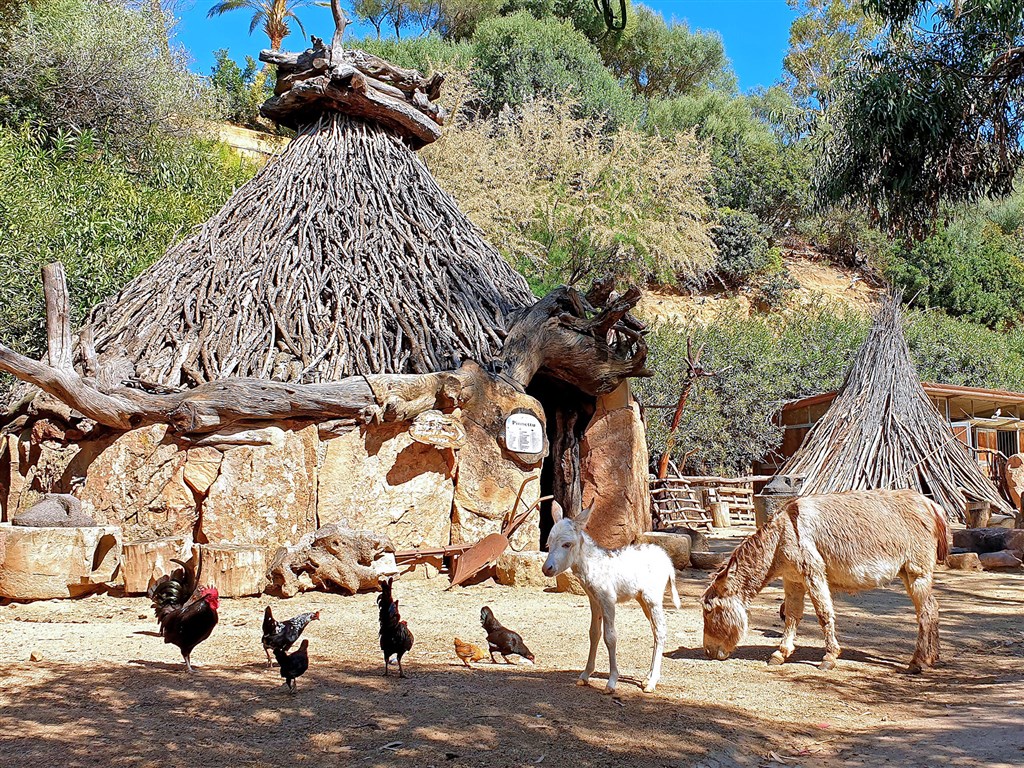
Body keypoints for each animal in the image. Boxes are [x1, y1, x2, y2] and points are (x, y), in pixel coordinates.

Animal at [544, 507, 679, 696]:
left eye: (567, 544)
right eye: (548, 544)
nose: (546, 569)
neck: (592, 565)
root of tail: (667, 559)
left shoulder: (608, 599)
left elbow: (610, 637)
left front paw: (611, 682)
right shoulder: (594, 600)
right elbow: (594, 633)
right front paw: (585, 676)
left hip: (652, 598)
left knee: (660, 631)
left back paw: (652, 683)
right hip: (642, 599)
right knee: (655, 630)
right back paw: (647, 678)